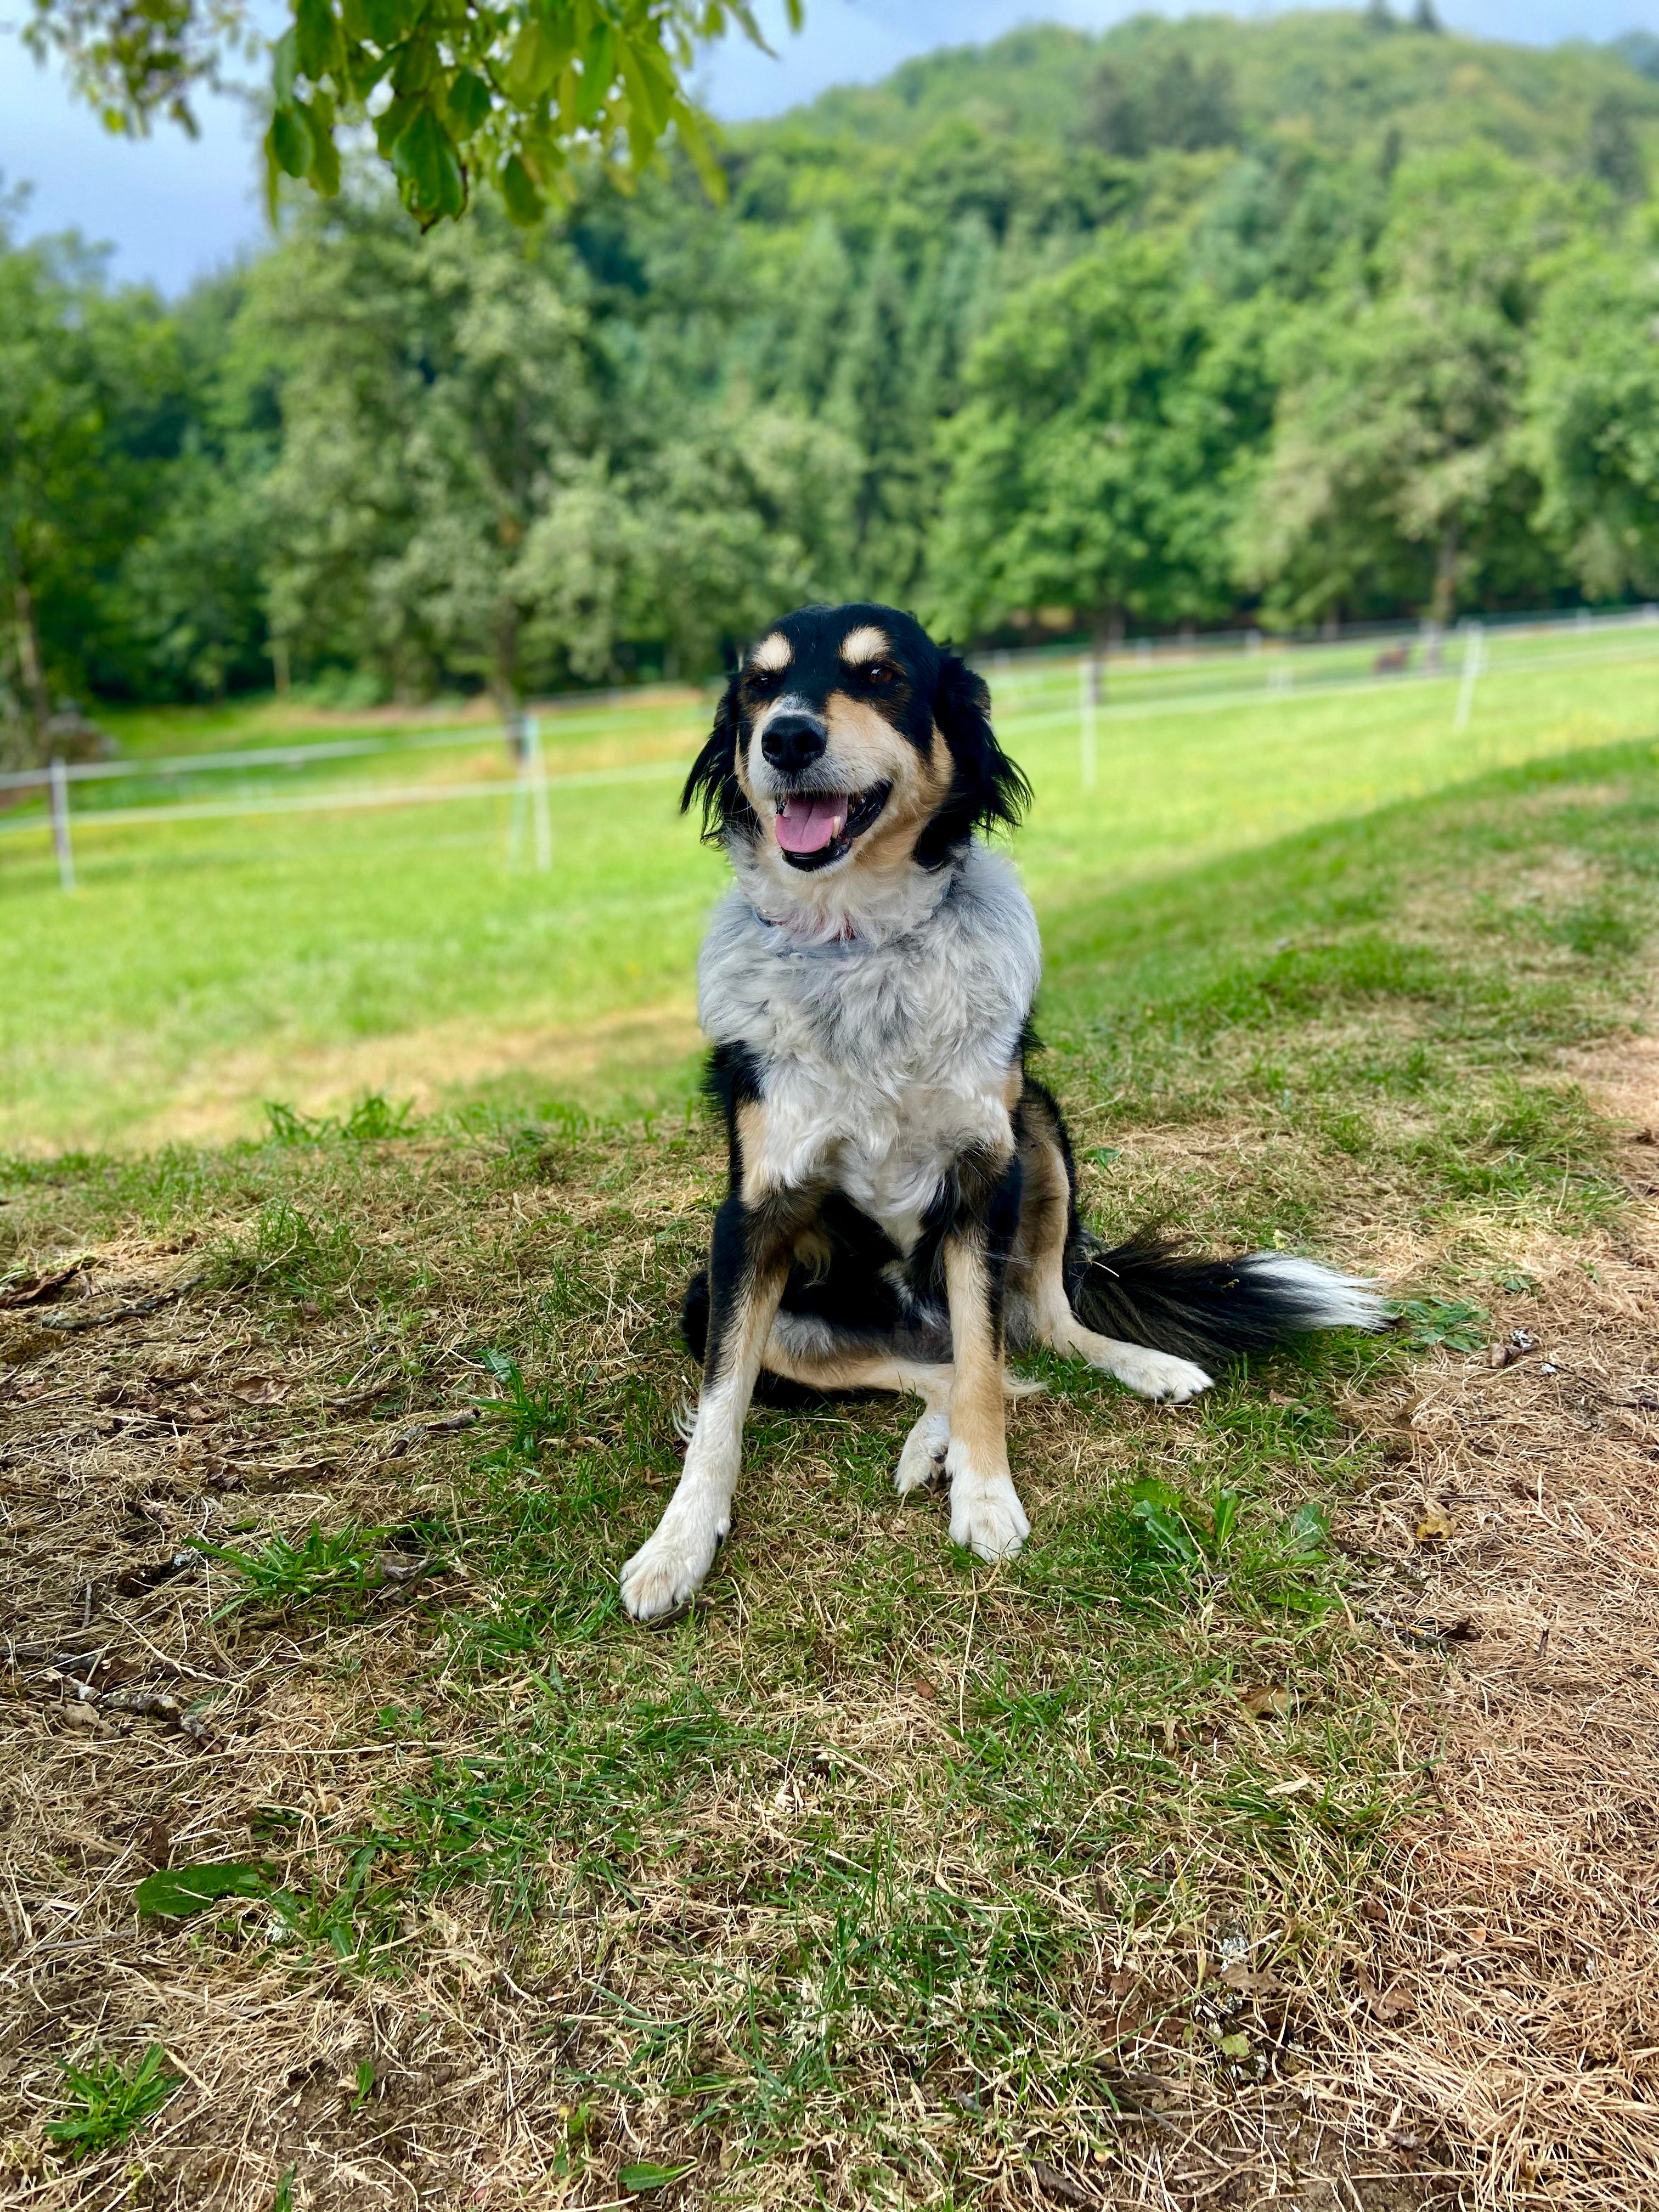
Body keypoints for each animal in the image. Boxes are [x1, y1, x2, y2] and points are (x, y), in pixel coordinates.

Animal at [619, 606, 1380, 1628]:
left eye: (881, 675)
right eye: (758, 685)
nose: (786, 738)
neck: (861, 944)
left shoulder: (983, 1176)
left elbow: (987, 1366)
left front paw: (985, 1498)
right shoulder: (752, 1217)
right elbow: (720, 1409)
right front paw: (678, 1543)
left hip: (1042, 1134)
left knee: (1033, 1328)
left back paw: (1136, 1366)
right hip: (726, 1298)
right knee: (930, 1366)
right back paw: (926, 1442)